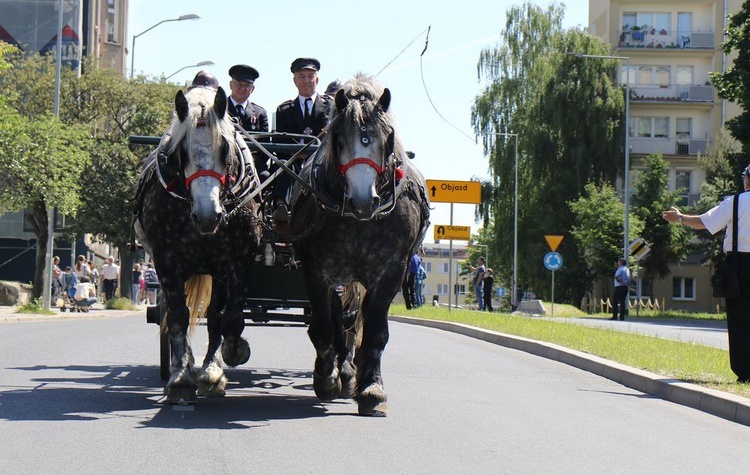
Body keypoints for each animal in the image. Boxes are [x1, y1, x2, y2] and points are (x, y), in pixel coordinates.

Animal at [134, 86, 262, 406]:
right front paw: (181, 377)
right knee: (175, 314)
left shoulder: (236, 263)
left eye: (225, 148)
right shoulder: (167, 263)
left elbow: (228, 318)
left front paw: (222, 362)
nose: (207, 215)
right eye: (183, 151)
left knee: (215, 315)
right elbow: (179, 316)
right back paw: (187, 366)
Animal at [290, 75, 428, 416]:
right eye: (339, 138)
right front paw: (326, 377)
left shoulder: (391, 272)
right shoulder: (317, 271)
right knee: (343, 321)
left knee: (354, 323)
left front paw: (372, 389)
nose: (364, 200)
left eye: (388, 138)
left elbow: (375, 331)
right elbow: (324, 327)